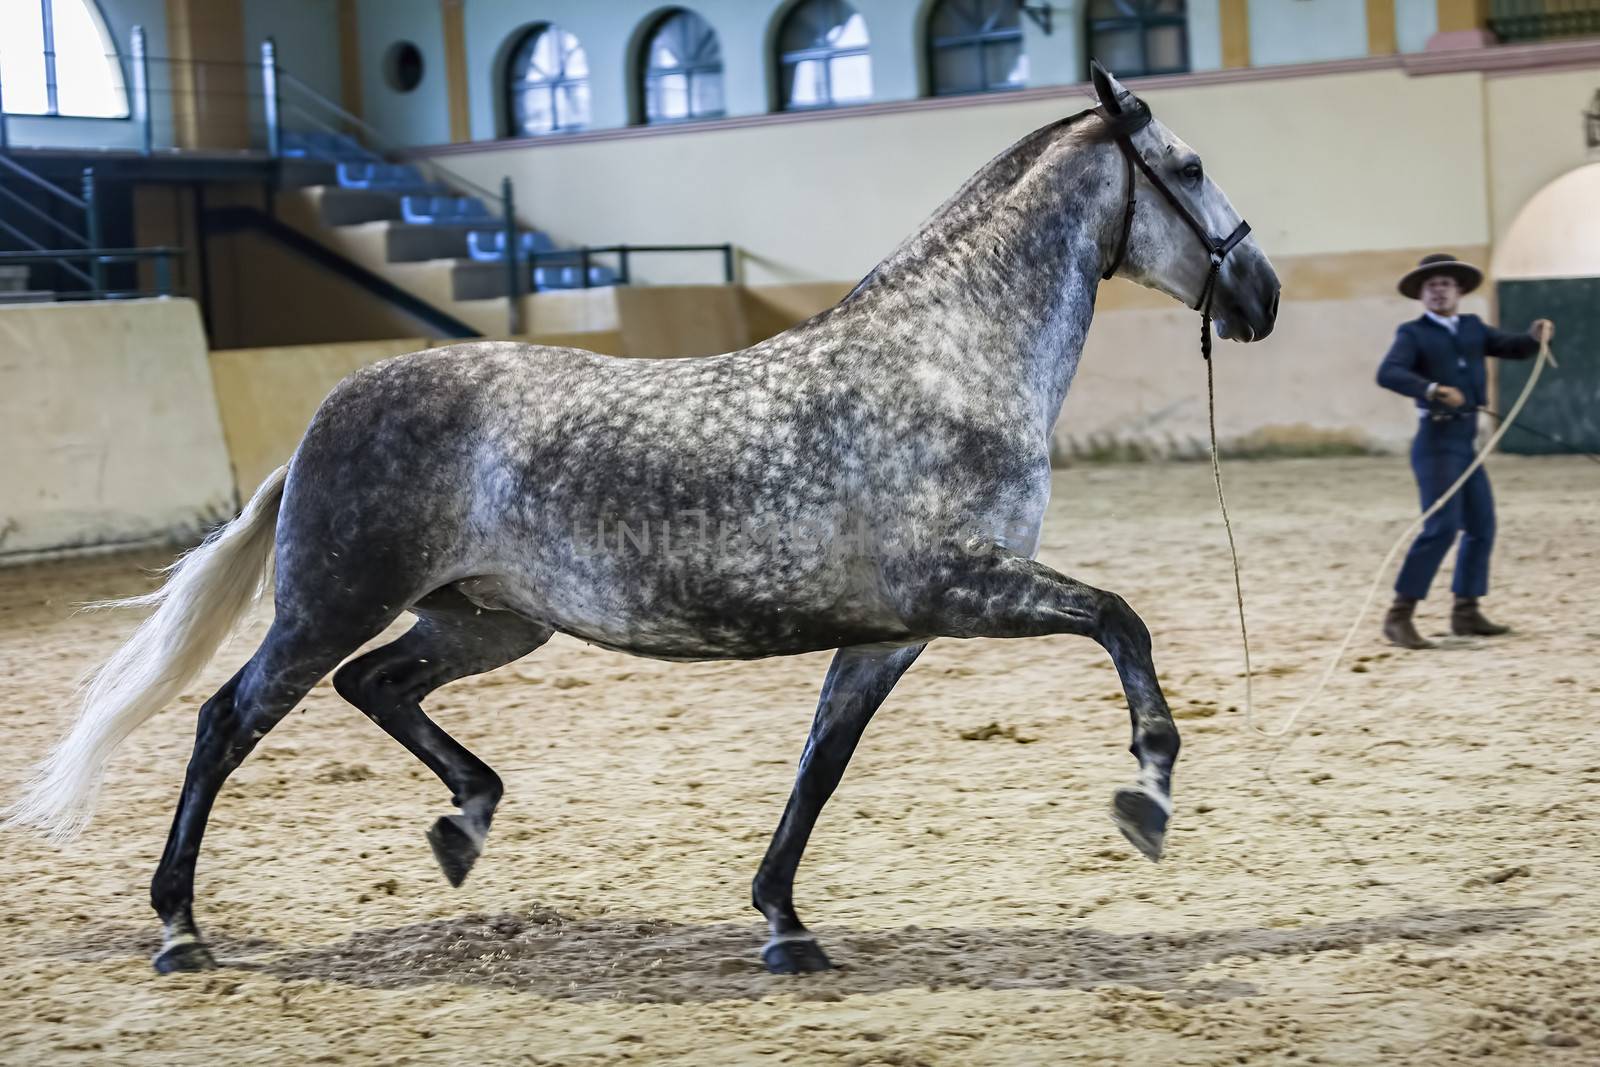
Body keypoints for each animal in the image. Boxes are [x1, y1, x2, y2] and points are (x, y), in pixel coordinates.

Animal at [0, 66, 1273, 979]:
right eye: (1190, 165)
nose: (1257, 294)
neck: (944, 364)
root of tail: (326, 413)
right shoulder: (963, 586)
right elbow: (1120, 620)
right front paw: (1147, 795)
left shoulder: (890, 633)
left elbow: (819, 768)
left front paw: (783, 923)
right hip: (330, 606)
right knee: (226, 720)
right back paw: (180, 929)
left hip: (487, 621)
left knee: (380, 686)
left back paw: (463, 824)